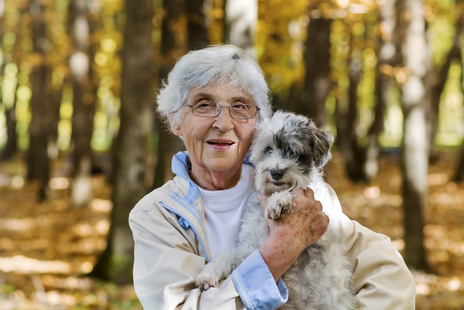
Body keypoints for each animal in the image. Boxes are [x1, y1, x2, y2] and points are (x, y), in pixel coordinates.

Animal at [196, 110, 356, 308]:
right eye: (267, 150)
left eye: (294, 151)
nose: (276, 172)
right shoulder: (252, 247)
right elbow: (228, 255)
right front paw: (208, 273)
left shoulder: (322, 236)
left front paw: (279, 201)